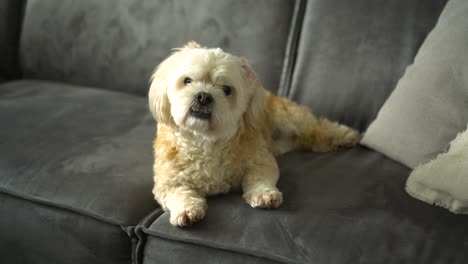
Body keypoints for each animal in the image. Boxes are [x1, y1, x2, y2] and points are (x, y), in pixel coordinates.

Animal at [148, 41, 360, 227]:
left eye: (226, 89)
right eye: (187, 81)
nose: (203, 96)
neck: (206, 141)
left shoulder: (262, 160)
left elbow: (258, 177)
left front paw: (264, 194)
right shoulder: (167, 182)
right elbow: (178, 193)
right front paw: (186, 210)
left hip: (289, 117)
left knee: (317, 127)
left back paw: (344, 135)